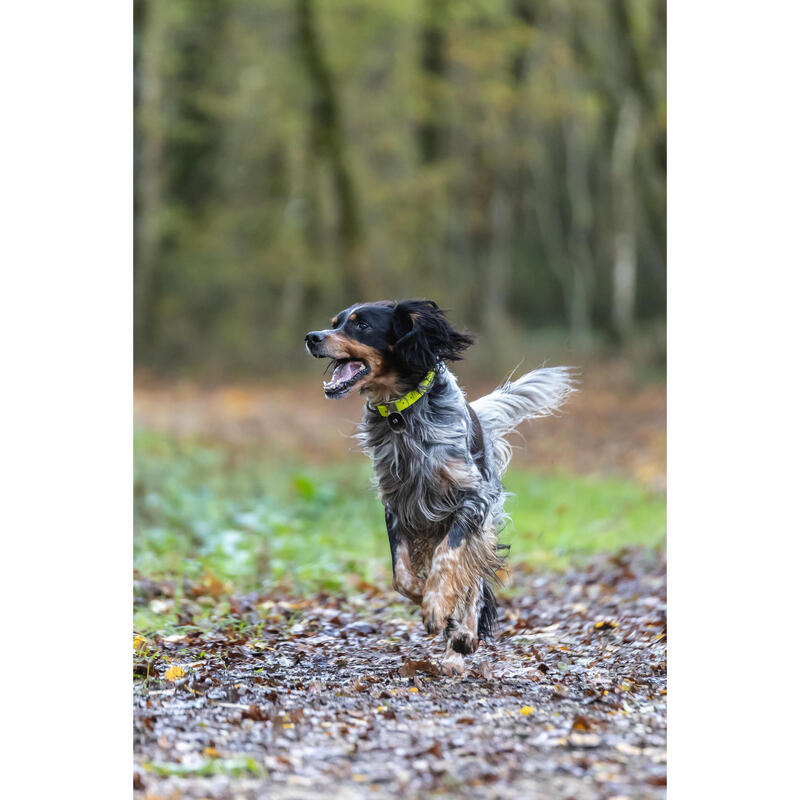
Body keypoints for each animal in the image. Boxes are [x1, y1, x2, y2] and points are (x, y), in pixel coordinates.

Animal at [304, 300, 576, 676]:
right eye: (335, 323)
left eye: (361, 325)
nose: (312, 337)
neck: (402, 415)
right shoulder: (397, 505)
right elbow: (402, 576)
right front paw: (429, 599)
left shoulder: (472, 501)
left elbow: (449, 560)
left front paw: (436, 607)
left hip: (481, 525)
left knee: (473, 584)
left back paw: (462, 639)